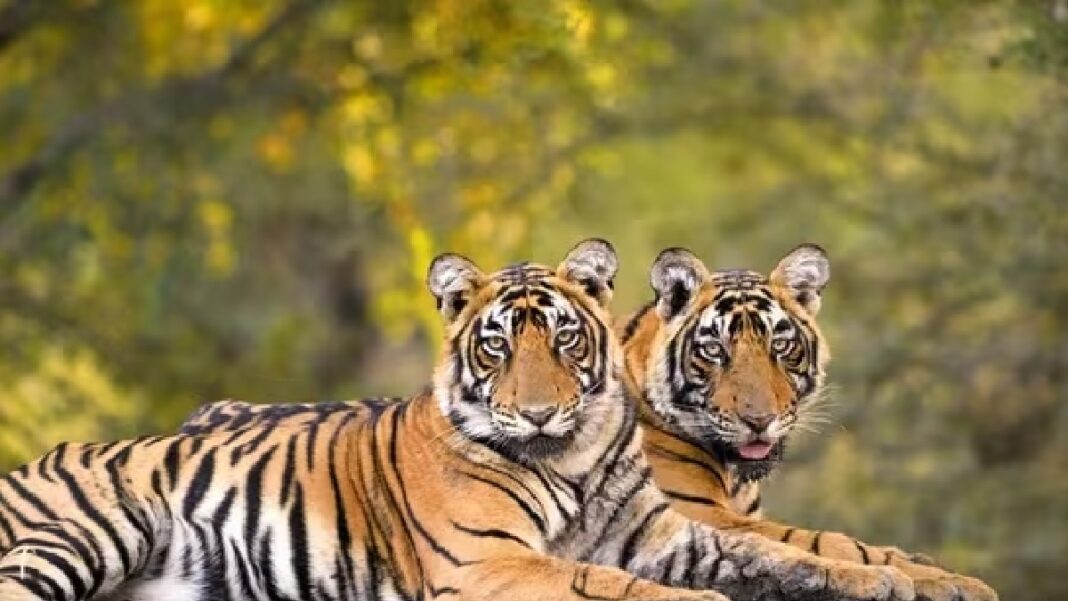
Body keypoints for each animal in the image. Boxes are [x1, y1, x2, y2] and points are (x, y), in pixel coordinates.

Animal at [0, 239, 917, 601]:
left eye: (565, 338)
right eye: (497, 343)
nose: (539, 409)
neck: (571, 455)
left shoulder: (674, 534)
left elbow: (801, 550)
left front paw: (902, 576)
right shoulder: (490, 562)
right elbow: (613, 584)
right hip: (85, 532)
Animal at [620, 243, 999, 601]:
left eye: (780, 345)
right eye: (713, 350)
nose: (759, 420)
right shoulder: (694, 514)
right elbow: (824, 542)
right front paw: (944, 581)